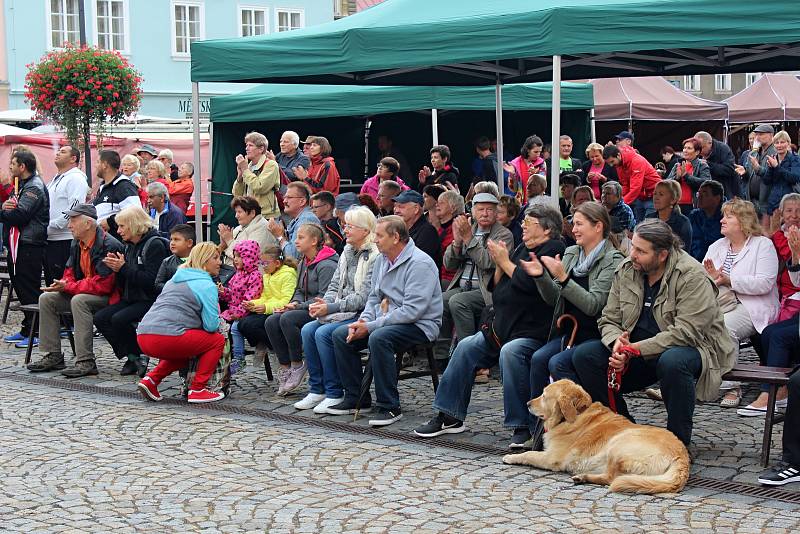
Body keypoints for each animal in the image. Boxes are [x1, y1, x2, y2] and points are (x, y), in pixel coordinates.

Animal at [504, 378, 692, 496]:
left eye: (544, 395)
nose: (527, 403)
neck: (576, 414)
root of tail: (682, 457)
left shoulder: (551, 458)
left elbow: (529, 454)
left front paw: (511, 457)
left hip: (618, 444)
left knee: (612, 478)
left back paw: (584, 477)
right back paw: (582, 477)